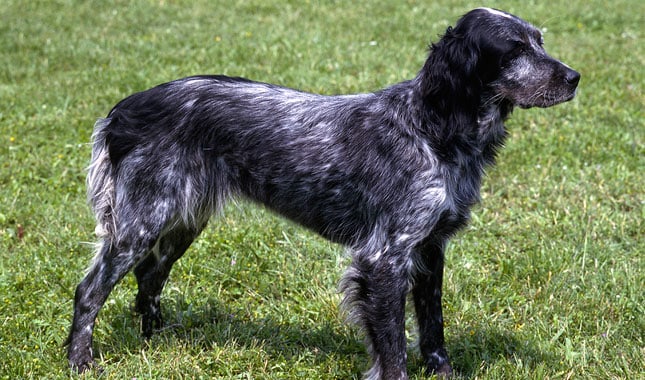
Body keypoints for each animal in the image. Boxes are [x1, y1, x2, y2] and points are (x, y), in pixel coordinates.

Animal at [65, 7, 580, 378]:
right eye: (515, 49)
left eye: (540, 41)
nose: (574, 77)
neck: (429, 127)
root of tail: (123, 110)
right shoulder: (385, 258)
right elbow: (394, 349)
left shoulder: (430, 249)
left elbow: (433, 329)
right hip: (141, 223)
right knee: (89, 291)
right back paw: (81, 361)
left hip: (182, 221)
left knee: (150, 277)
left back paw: (155, 338)